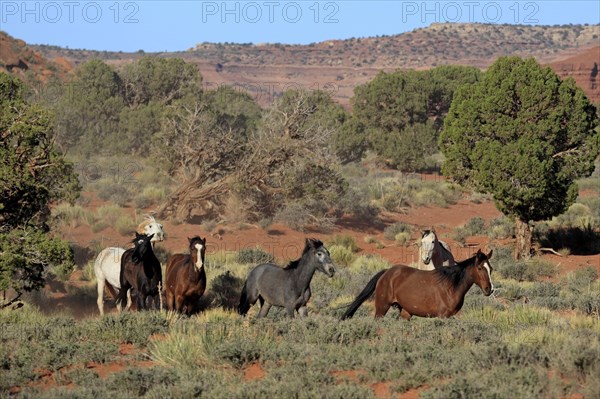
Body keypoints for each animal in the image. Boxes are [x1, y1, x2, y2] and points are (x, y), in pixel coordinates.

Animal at [340, 252, 494, 320]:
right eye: (480, 268)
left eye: (490, 269)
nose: (489, 289)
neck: (451, 286)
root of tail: (387, 272)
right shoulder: (443, 316)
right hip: (382, 308)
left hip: (405, 312)